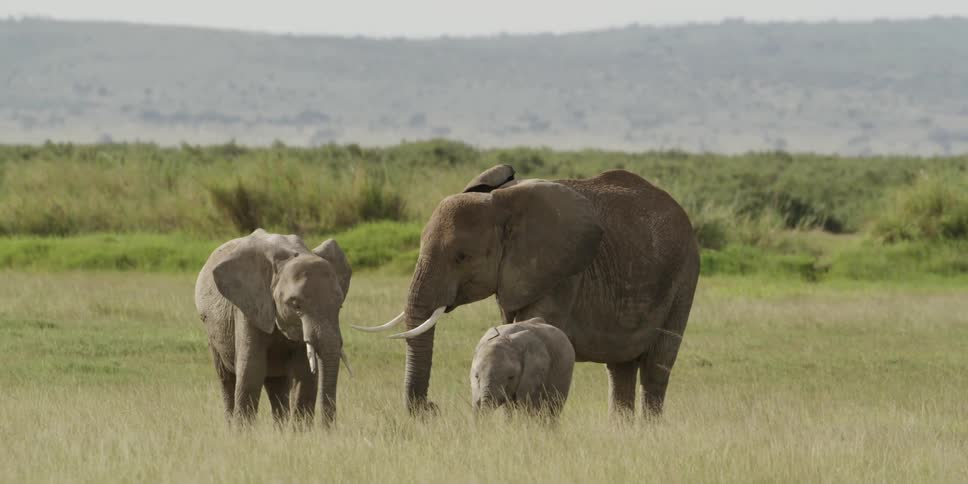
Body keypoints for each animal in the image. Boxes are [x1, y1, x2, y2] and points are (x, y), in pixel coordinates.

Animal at [194, 229, 352, 426]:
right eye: (296, 305)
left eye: (340, 306)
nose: (327, 428)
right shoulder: (248, 306)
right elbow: (251, 372)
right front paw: (242, 433)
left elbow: (305, 376)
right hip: (212, 331)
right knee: (227, 379)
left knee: (276, 385)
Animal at [355, 165, 699, 419]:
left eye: (461, 257)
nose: (431, 408)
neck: (502, 202)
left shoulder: (562, 272)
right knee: (621, 369)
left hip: (684, 276)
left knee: (656, 367)